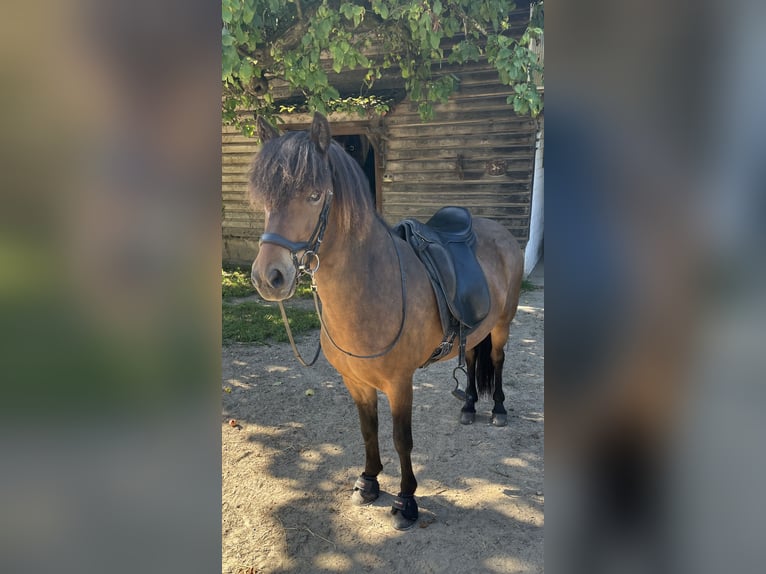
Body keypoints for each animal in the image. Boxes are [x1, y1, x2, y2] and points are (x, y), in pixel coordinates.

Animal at [249, 112, 524, 530]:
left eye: (314, 195)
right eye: (264, 197)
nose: (269, 277)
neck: (370, 287)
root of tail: (500, 231)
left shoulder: (399, 383)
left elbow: (400, 439)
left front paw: (406, 502)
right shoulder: (356, 382)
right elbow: (368, 430)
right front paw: (368, 482)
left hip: (502, 325)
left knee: (496, 360)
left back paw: (498, 411)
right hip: (475, 330)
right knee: (472, 358)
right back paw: (468, 406)